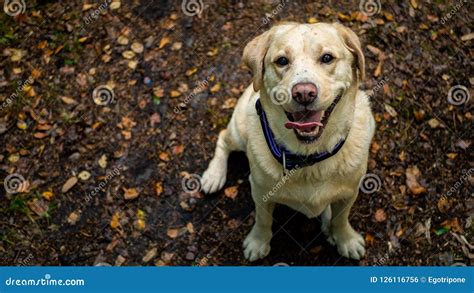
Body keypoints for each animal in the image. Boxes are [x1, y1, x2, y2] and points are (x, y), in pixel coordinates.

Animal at [200, 22, 374, 260]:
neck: (308, 159)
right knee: (223, 138)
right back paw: (213, 175)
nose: (304, 93)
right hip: (238, 130)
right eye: (282, 61)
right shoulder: (260, 192)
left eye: (327, 58)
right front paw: (258, 242)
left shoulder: (350, 193)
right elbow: (263, 220)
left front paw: (344, 239)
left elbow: (341, 218)